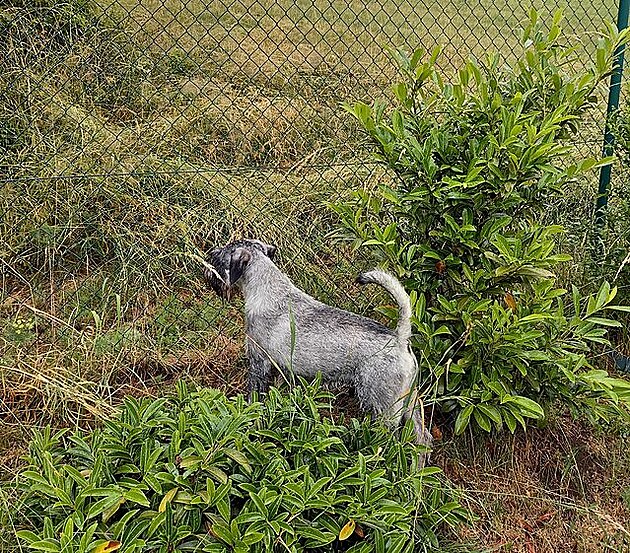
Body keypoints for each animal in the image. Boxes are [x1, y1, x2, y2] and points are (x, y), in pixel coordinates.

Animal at [207, 239, 434, 454]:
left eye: (222, 257)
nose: (210, 254)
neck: (268, 287)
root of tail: (400, 338)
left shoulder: (258, 363)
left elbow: (254, 396)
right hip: (409, 401)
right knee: (423, 437)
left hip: (383, 406)